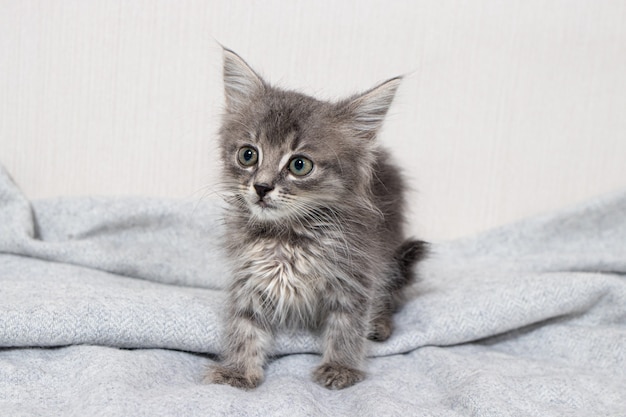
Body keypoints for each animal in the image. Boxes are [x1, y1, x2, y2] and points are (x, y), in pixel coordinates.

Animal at [205, 48, 424, 390]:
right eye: (248, 155)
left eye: (299, 165)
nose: (261, 187)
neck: (288, 236)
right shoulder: (249, 273)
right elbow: (245, 323)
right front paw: (238, 370)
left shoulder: (357, 273)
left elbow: (347, 324)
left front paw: (340, 367)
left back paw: (379, 324)